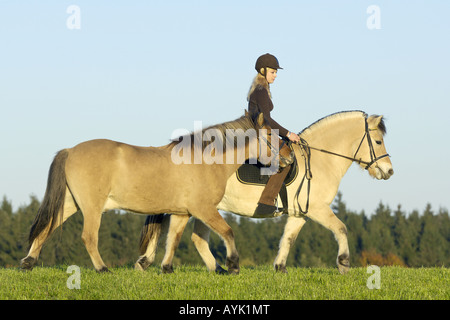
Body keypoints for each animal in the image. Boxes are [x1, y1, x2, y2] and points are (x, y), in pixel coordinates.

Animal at [20, 111, 292, 274]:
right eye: (270, 136)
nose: (289, 158)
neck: (204, 161)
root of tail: (70, 150)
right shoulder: (204, 209)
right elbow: (228, 231)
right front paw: (233, 264)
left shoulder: (182, 213)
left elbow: (173, 240)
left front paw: (167, 268)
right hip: (92, 208)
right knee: (88, 237)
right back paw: (102, 268)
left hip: (71, 203)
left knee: (47, 228)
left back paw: (28, 263)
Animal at [137, 111, 394, 274]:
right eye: (378, 142)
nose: (389, 171)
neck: (321, 160)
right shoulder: (318, 209)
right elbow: (341, 228)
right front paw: (343, 263)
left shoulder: (300, 213)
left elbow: (288, 239)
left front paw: (280, 268)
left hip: (206, 208)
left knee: (197, 239)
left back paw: (214, 268)